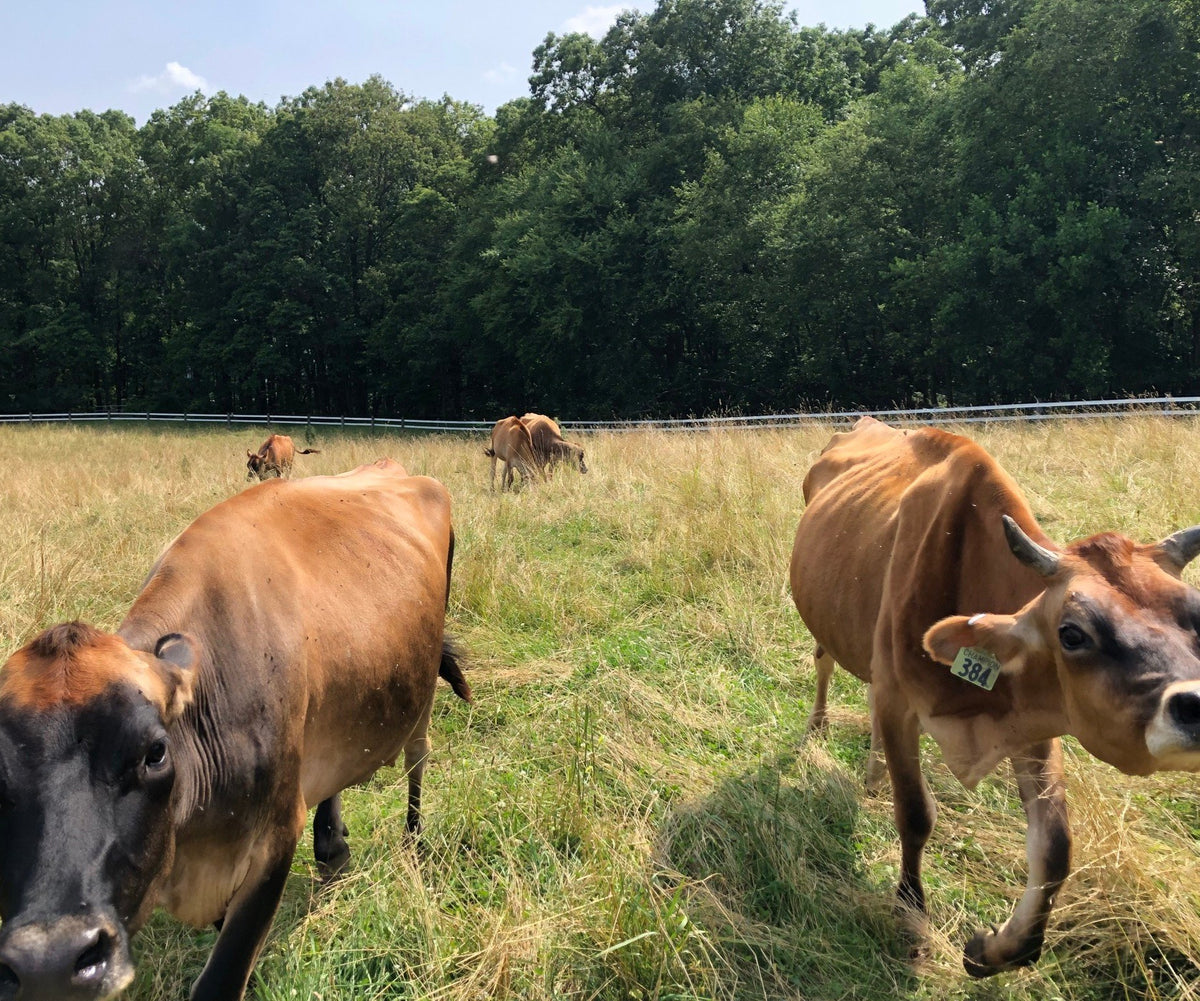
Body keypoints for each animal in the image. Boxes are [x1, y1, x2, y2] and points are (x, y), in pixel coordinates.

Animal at [0, 459, 471, 1001]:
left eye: (155, 752)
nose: (49, 961)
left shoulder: (274, 839)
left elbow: (222, 977)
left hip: (423, 684)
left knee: (419, 755)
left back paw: (413, 840)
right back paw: (333, 848)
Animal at [790, 417, 1200, 977]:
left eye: (1197, 612)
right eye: (1072, 633)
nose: (1196, 704)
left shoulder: (1036, 718)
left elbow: (1055, 846)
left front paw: (996, 949)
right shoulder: (900, 703)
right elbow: (915, 814)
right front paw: (912, 919)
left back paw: (873, 776)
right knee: (824, 662)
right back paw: (818, 727)